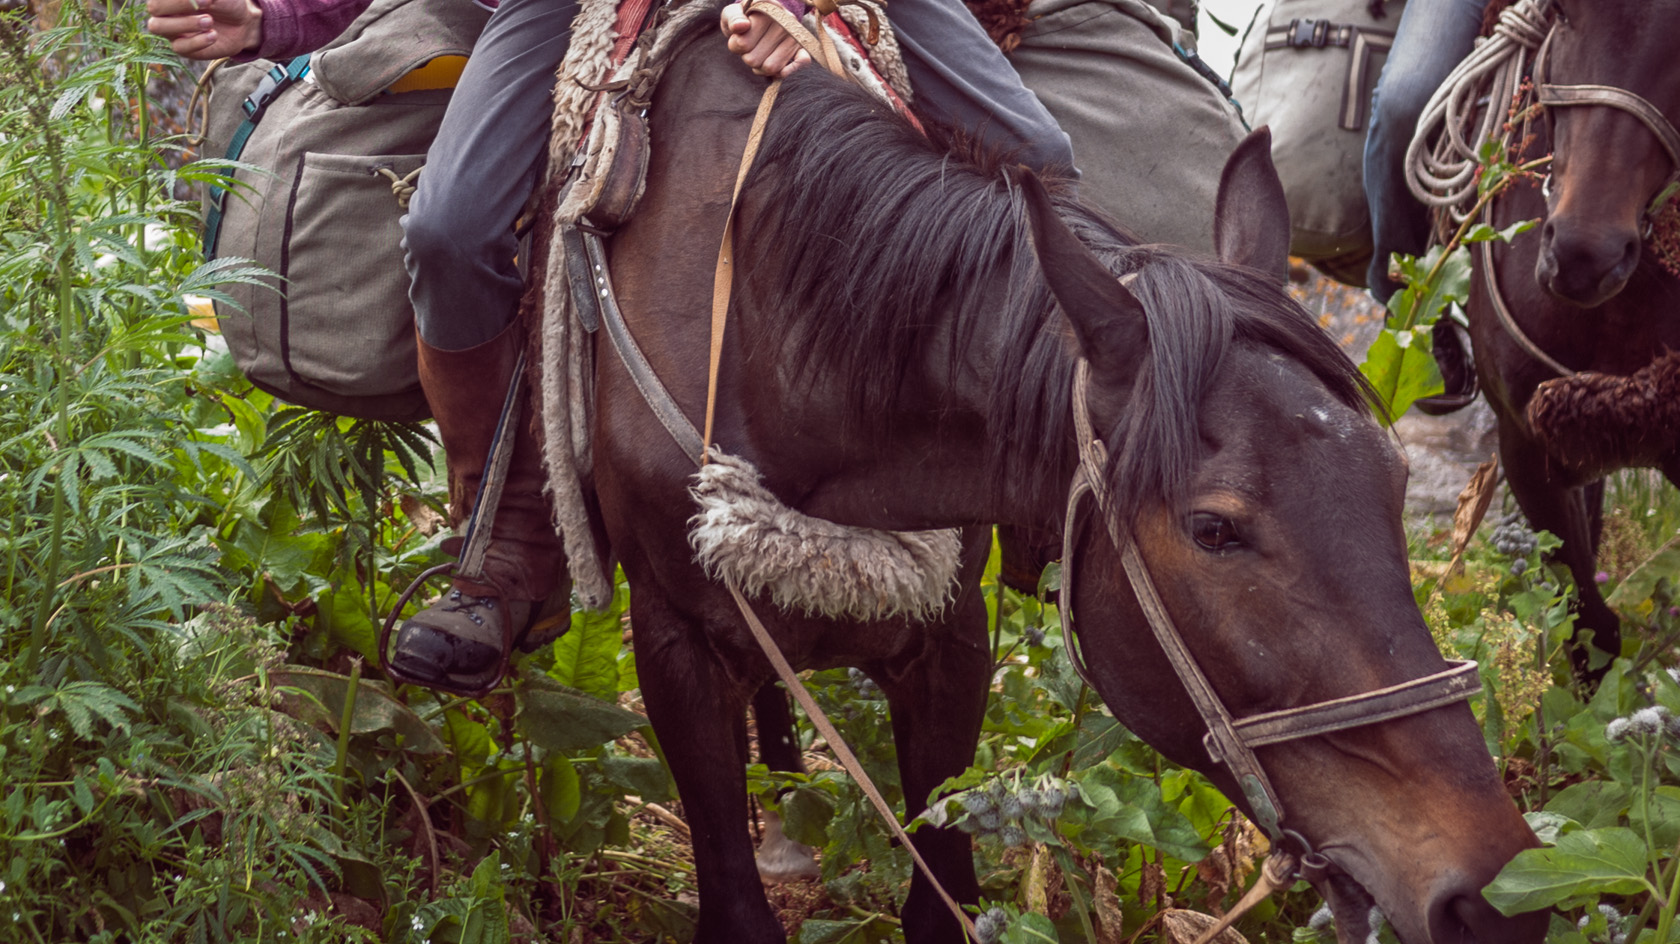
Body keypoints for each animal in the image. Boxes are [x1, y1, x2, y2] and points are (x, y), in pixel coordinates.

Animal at [577, 16, 1545, 940]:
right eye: (1214, 529)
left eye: (1393, 481)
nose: (1494, 899)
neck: (762, 331)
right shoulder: (673, 649)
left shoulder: (950, 643)